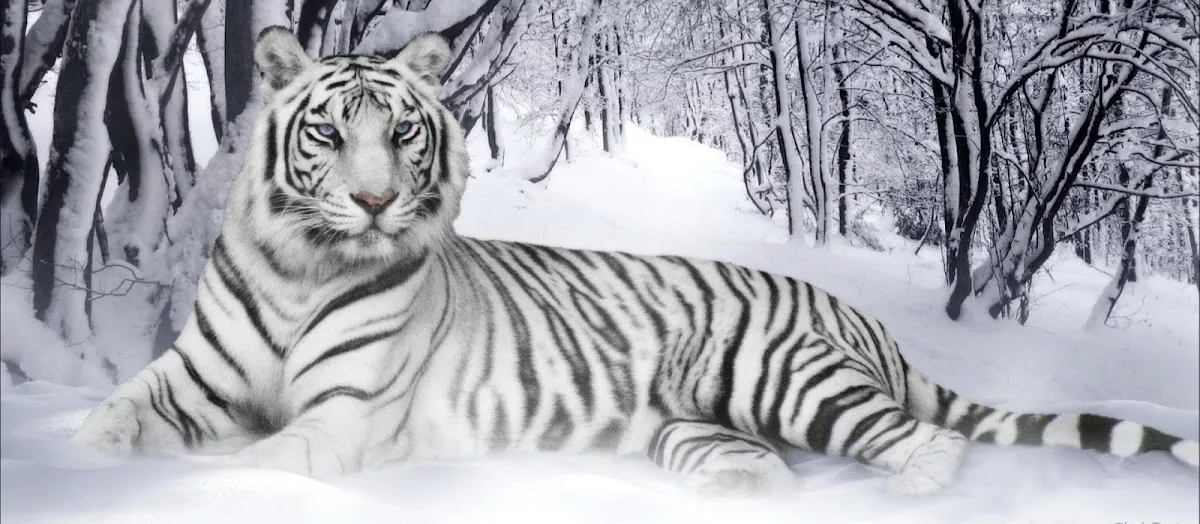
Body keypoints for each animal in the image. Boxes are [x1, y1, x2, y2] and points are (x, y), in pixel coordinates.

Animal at [71, 26, 1198, 497]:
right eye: (328, 132)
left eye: (402, 133)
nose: (378, 201)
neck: (303, 265)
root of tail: (857, 313)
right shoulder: (187, 379)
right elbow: (109, 421)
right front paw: (81, 465)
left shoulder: (342, 416)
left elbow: (248, 460)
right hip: (693, 426)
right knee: (766, 465)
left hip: (787, 377)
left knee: (926, 442)